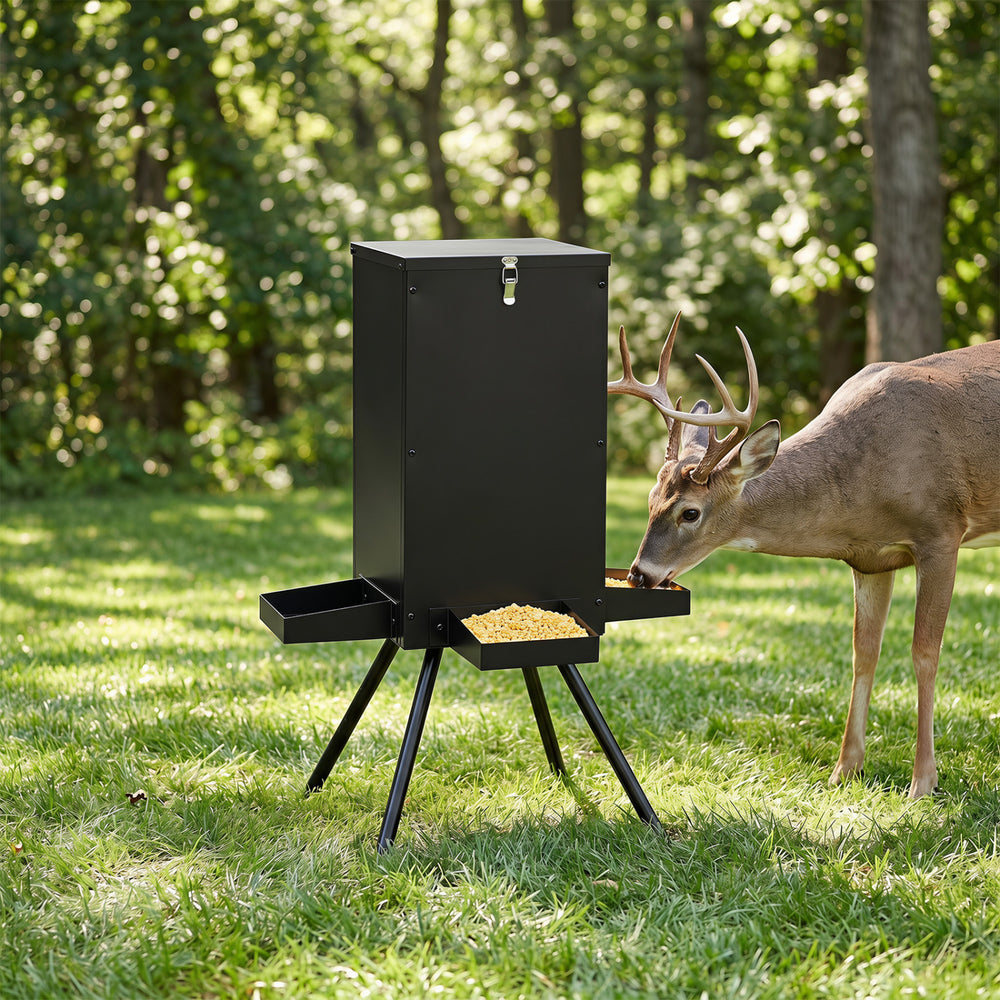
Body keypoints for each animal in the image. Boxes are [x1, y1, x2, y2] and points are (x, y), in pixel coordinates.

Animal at [608, 313, 1000, 798]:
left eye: (690, 512)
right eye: (649, 500)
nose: (639, 574)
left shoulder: (942, 533)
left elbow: (925, 653)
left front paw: (923, 782)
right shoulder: (871, 559)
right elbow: (863, 651)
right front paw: (845, 770)